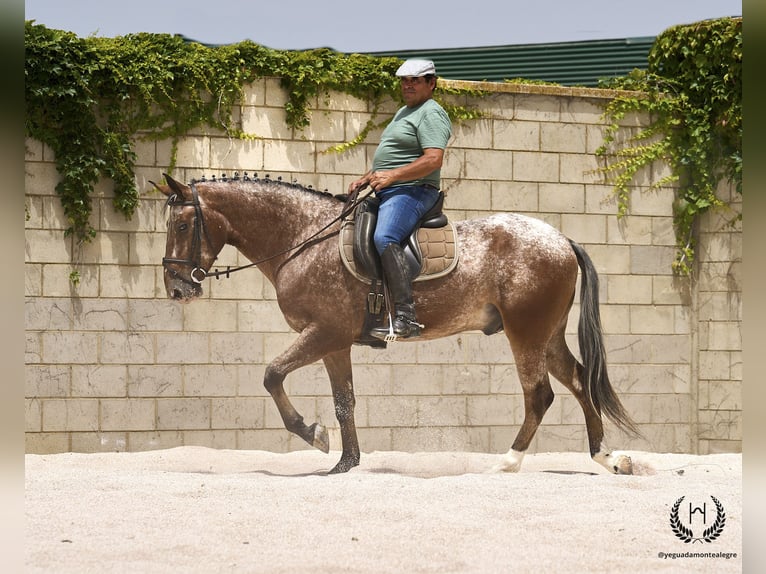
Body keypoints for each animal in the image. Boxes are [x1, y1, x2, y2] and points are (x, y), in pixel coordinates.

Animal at [153, 172, 640, 476]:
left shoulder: (323, 333)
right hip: (547, 335)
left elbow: (272, 375)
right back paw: (607, 458)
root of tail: (561, 239)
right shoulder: (334, 344)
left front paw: (314, 435)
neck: (303, 238)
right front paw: (345, 463)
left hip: (527, 333)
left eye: (183, 224)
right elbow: (344, 401)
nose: (177, 288)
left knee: (540, 395)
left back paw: (508, 462)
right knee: (579, 382)